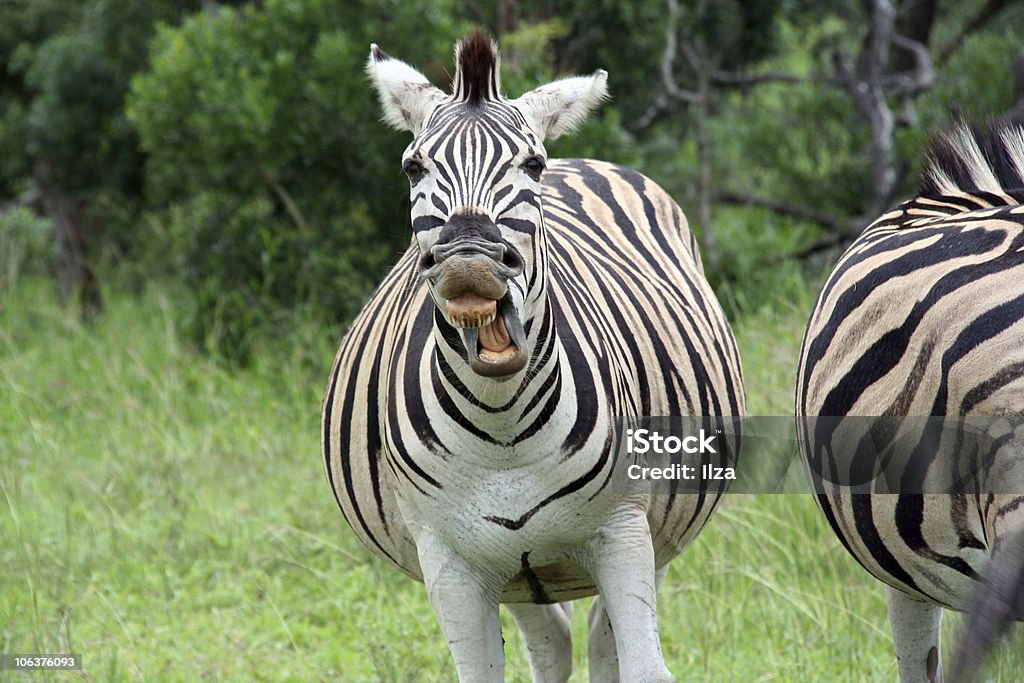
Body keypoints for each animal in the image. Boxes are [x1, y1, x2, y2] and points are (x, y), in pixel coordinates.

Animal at [321, 32, 744, 682]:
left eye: (531, 165)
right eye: (413, 166)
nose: (469, 261)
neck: (502, 428)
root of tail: (582, 160)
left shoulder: (624, 532)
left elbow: (642, 665)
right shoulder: (451, 564)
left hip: (654, 536)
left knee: (600, 641)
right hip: (519, 574)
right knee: (553, 642)